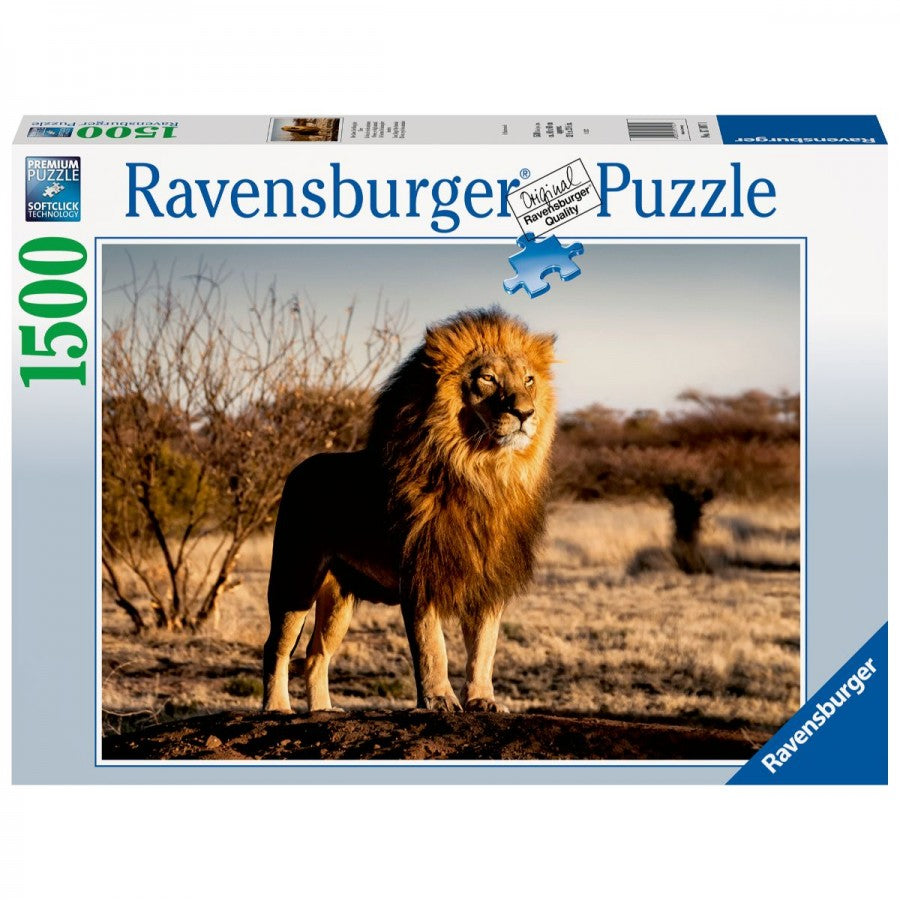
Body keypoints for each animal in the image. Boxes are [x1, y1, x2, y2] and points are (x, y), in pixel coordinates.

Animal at [262, 306, 557, 713]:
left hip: (338, 599)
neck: (483, 473)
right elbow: (433, 647)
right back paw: (276, 708)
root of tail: (299, 468)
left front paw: (482, 700)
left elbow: (484, 648)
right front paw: (439, 700)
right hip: (296, 578)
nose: (525, 413)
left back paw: (322, 710)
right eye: (488, 378)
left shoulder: (488, 579)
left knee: (316, 653)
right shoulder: (420, 574)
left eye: (529, 380)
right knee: (276, 646)